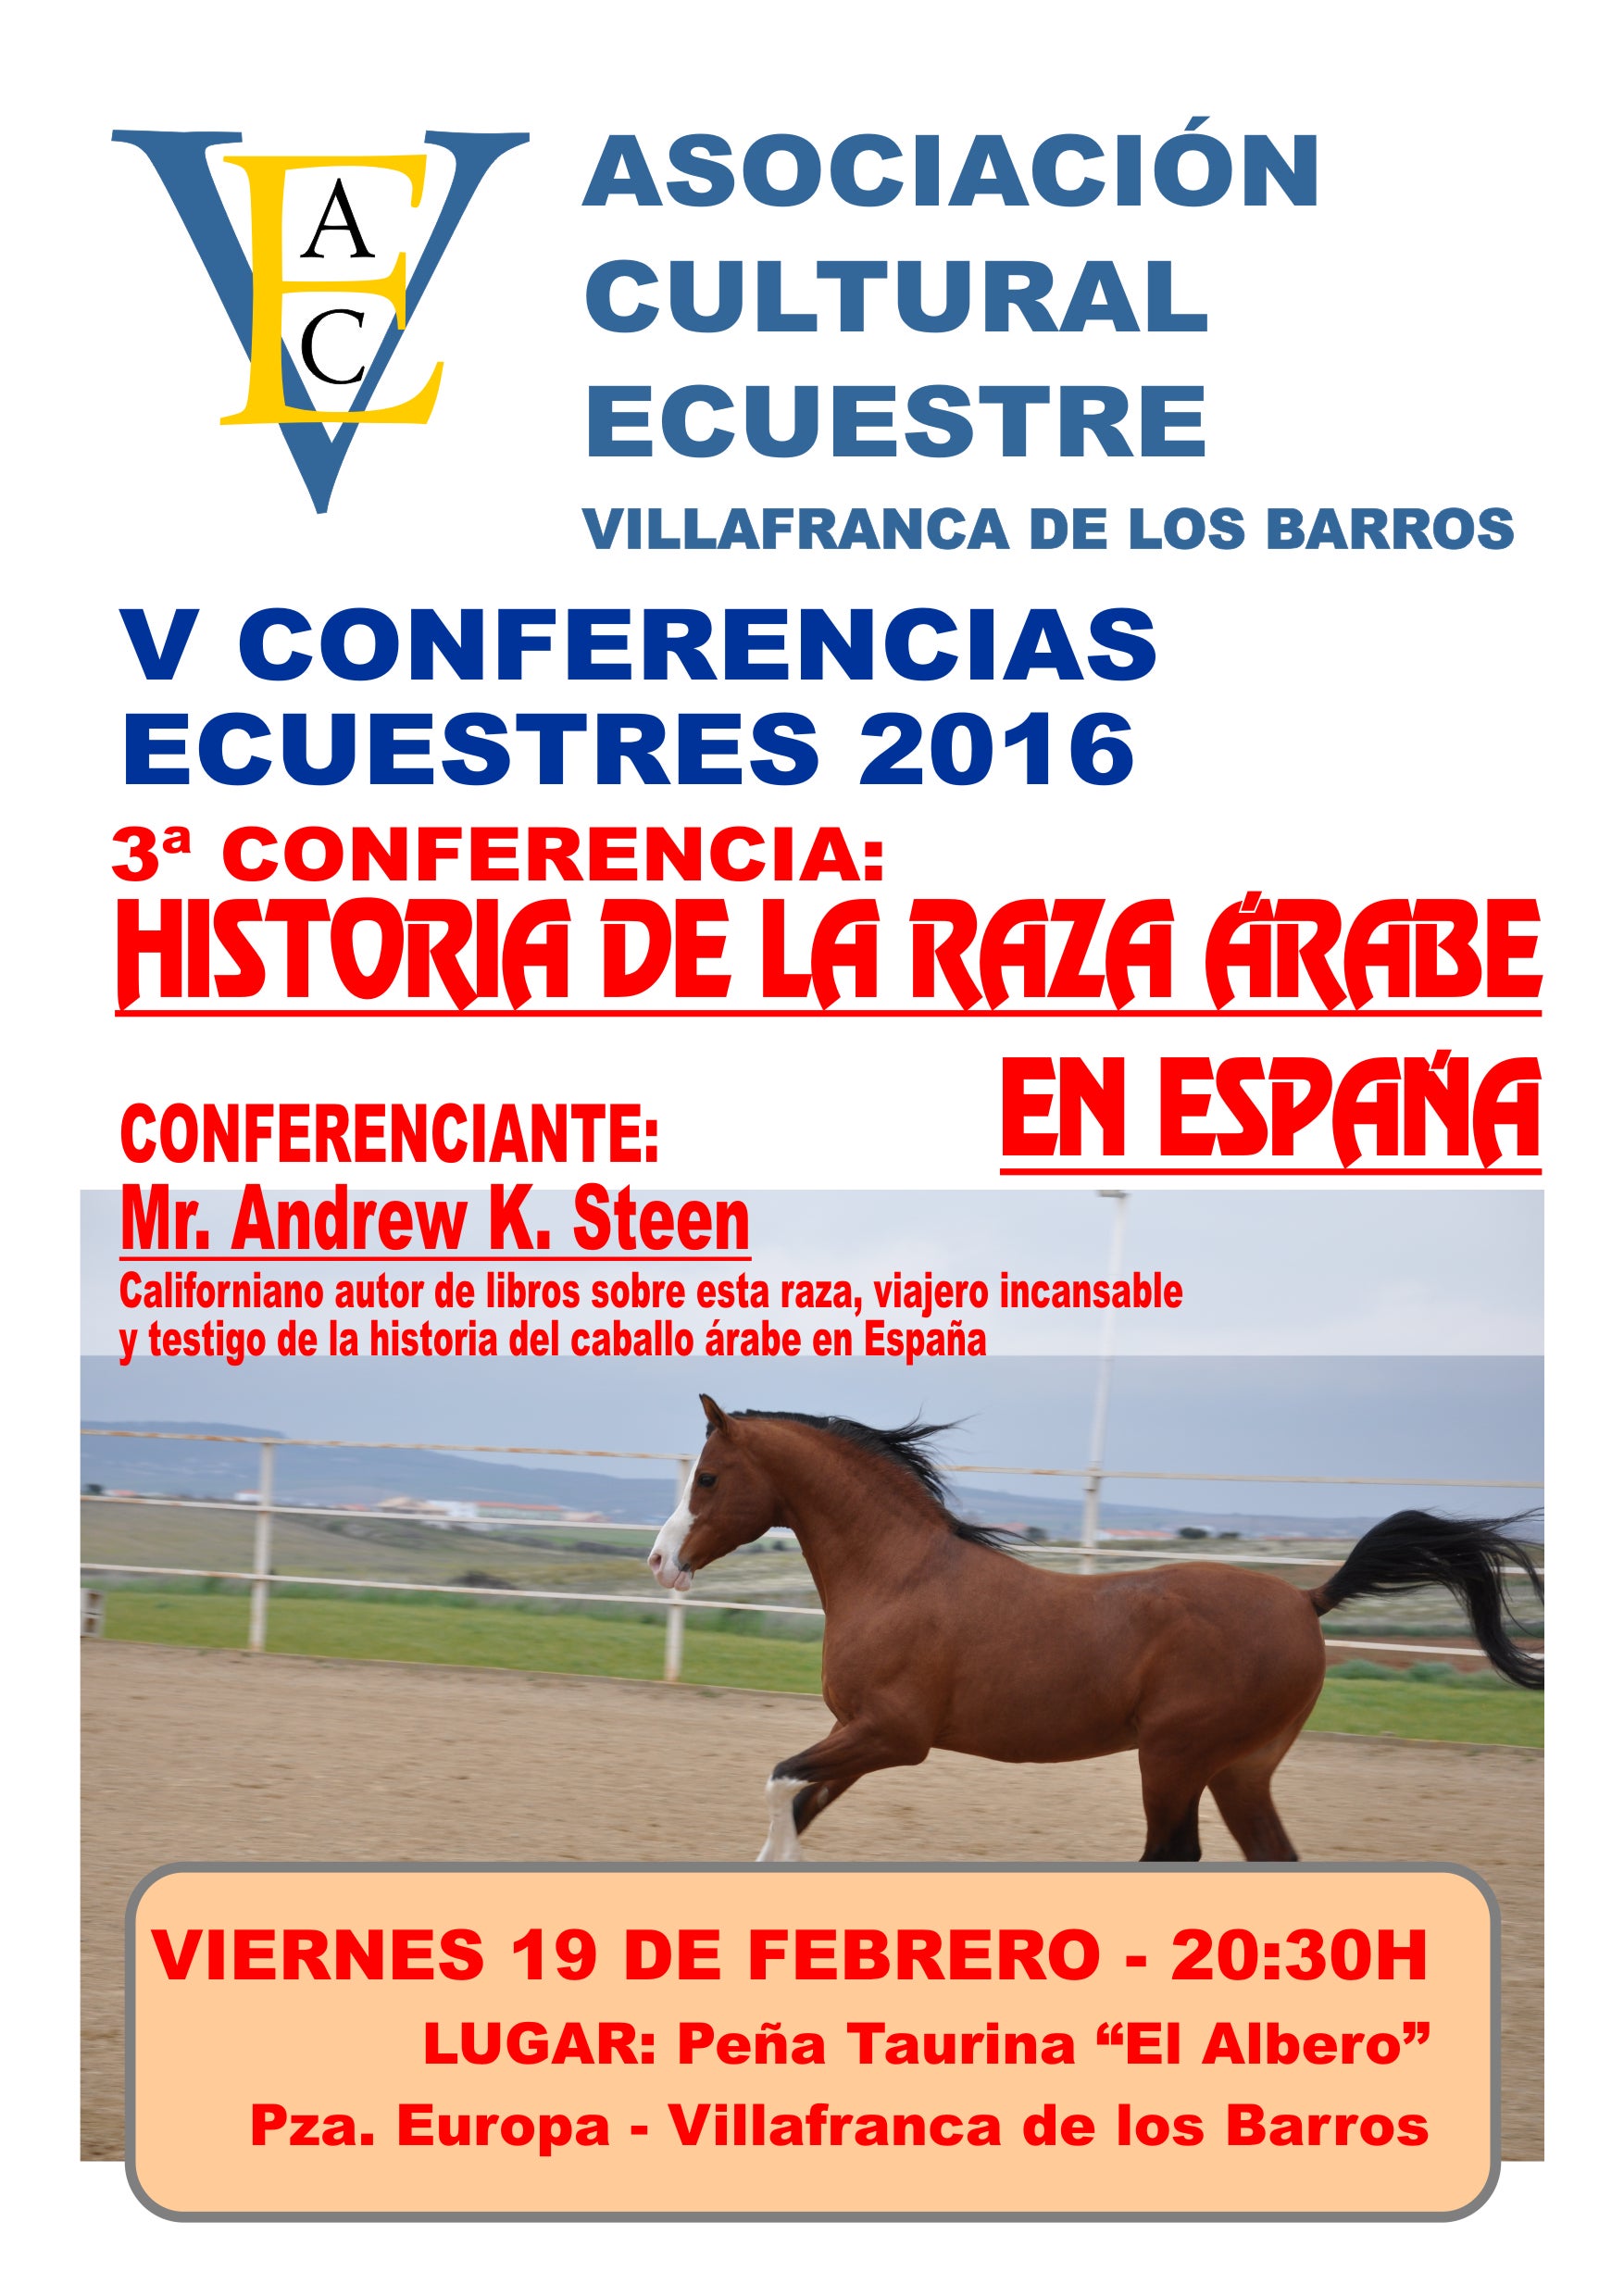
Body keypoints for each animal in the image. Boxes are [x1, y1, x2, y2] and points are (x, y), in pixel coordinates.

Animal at [648, 1398, 1543, 1864]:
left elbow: (779, 1783)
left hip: (1174, 1758)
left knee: (1173, 1855)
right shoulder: (856, 1734)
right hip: (1240, 1769)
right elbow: (799, 1801)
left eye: (709, 1477)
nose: (660, 1561)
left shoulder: (892, 1735)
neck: (898, 1575)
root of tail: (1305, 1602)